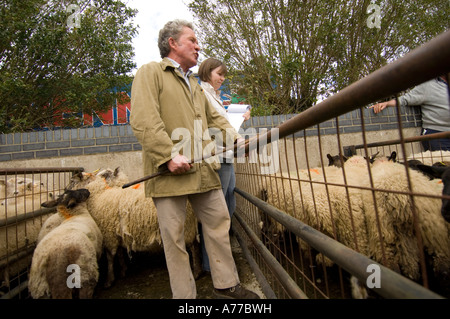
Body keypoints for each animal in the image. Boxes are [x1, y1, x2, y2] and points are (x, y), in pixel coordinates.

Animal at [66, 169, 200, 288]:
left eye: (72, 181)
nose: (64, 190)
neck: (99, 195)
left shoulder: (108, 235)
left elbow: (110, 257)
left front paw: (109, 280)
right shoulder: (116, 233)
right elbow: (120, 253)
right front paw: (123, 271)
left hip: (186, 225)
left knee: (193, 247)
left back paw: (196, 272)